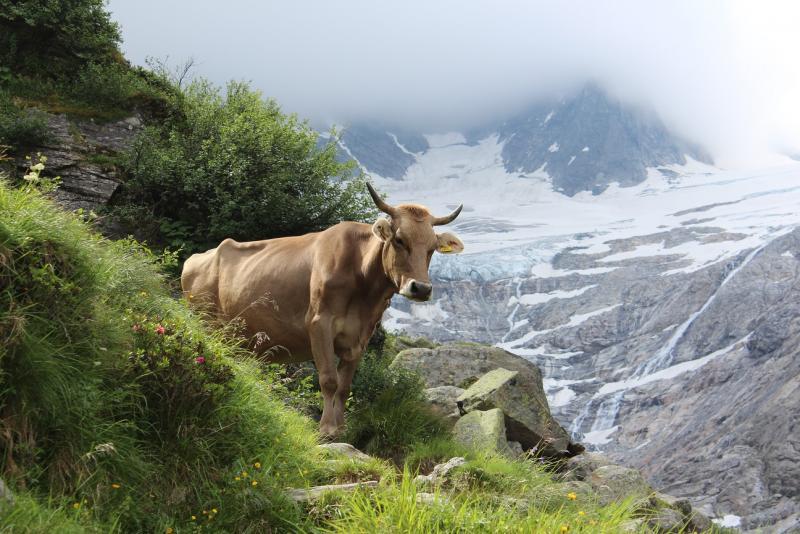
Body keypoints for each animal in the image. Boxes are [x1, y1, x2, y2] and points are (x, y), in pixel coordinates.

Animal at [181, 183, 464, 436]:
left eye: (431, 248)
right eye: (399, 240)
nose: (421, 288)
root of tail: (195, 259)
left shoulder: (360, 337)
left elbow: (345, 386)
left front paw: (341, 428)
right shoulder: (319, 323)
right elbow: (329, 379)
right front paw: (327, 429)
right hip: (207, 322)